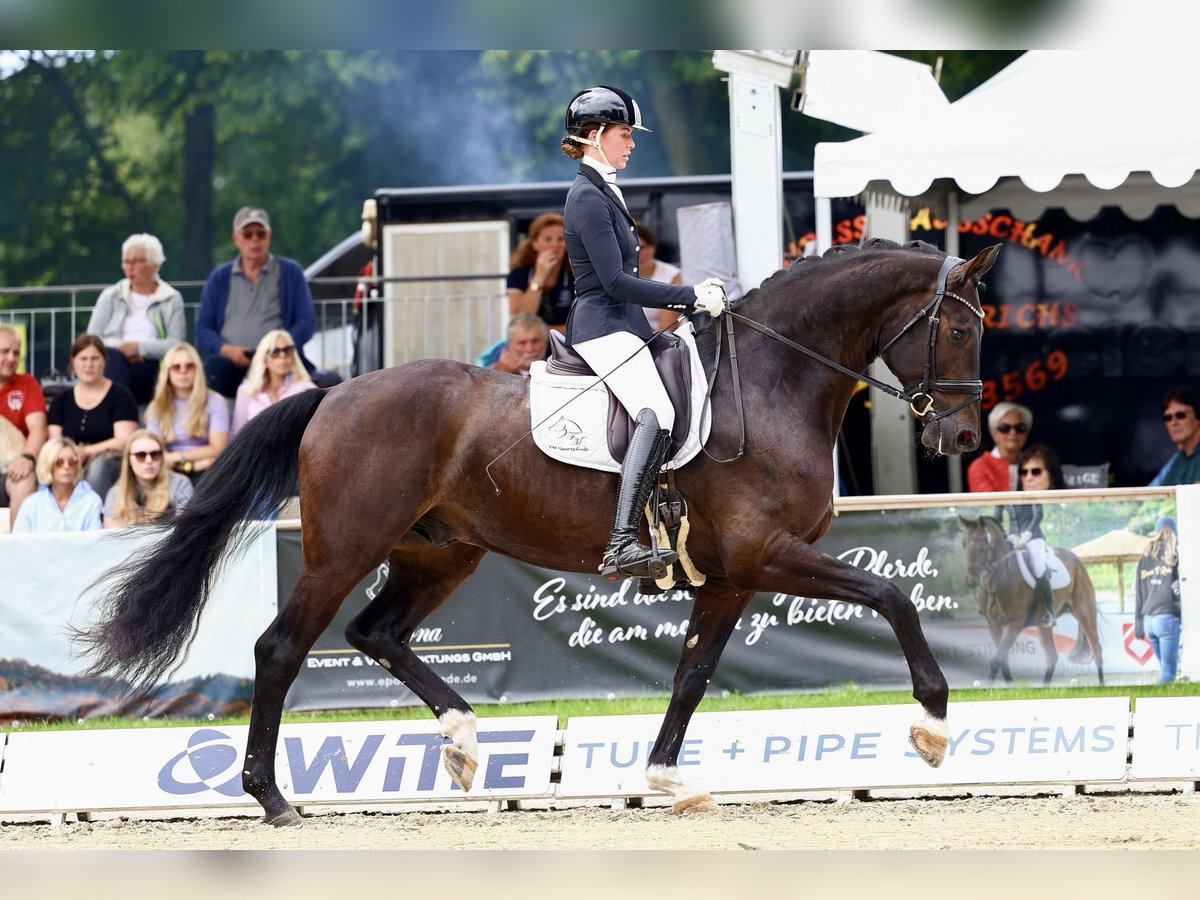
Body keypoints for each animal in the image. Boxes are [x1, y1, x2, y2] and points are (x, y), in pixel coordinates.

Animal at [77, 240, 1003, 825]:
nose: (961, 438)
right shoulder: (765, 554)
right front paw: (932, 724)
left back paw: (462, 742)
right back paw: (273, 799)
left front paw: (670, 780)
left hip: (441, 553)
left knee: (377, 632)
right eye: (958, 328)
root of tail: (335, 392)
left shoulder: (734, 574)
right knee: (282, 649)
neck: (775, 381)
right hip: (347, 549)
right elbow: (890, 594)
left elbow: (692, 676)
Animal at [955, 518, 1104, 686]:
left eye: (982, 547)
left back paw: (1102, 685)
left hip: (1085, 614)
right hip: (1042, 625)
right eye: (964, 544)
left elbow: (996, 661)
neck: (998, 581)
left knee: (1096, 650)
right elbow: (1002, 660)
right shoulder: (994, 626)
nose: (970, 581)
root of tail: (1075, 558)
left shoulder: (1013, 625)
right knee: (1052, 656)